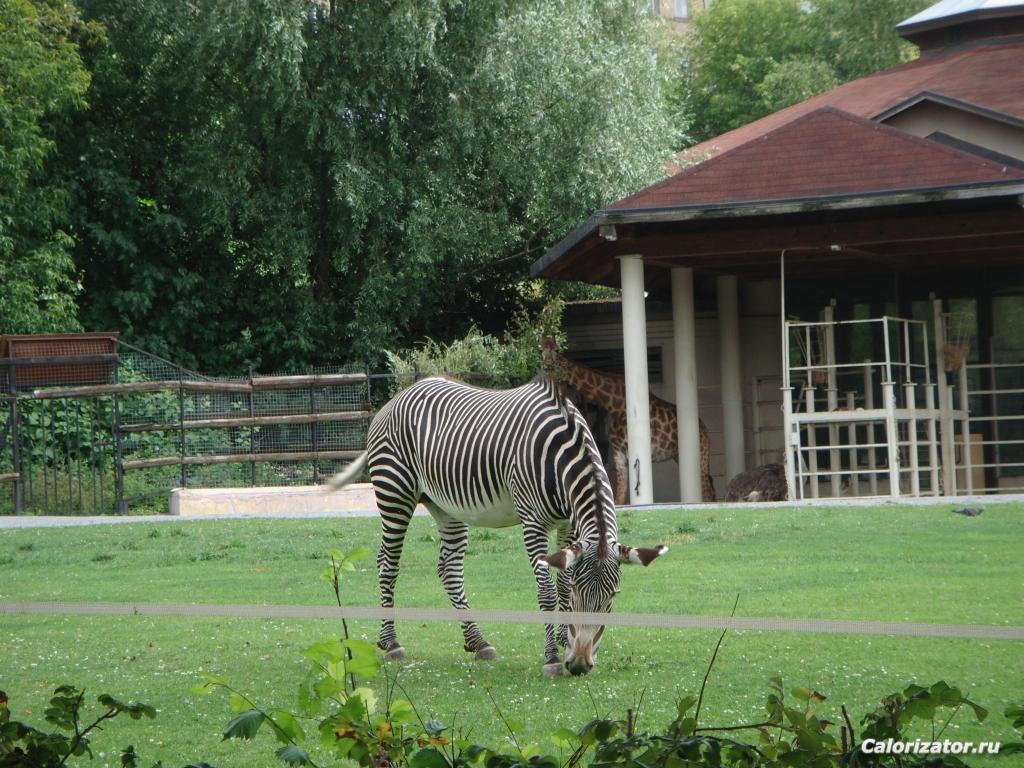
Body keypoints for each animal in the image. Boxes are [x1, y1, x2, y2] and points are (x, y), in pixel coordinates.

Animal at [327, 376, 663, 675]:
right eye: (583, 593)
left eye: (613, 596)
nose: (580, 665)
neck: (563, 454)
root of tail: (396, 398)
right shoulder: (533, 522)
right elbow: (547, 591)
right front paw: (552, 658)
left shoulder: (568, 524)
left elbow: (561, 584)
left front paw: (562, 641)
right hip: (394, 491)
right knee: (387, 563)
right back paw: (391, 642)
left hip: (446, 506)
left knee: (449, 569)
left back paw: (478, 642)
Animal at [544, 339, 712, 501]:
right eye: (541, 350)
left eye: (555, 352)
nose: (546, 372)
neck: (614, 404)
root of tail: (704, 427)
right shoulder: (618, 453)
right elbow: (619, 498)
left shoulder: (630, 451)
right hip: (679, 456)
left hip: (700, 454)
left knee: (708, 491)